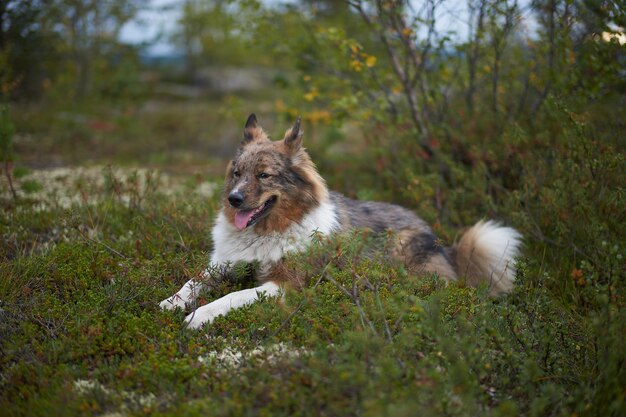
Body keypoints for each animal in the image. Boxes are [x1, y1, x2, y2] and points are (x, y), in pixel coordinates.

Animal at [158, 114, 520, 328]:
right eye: (237, 173)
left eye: (264, 175)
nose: (234, 199)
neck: (268, 230)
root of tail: (445, 246)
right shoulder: (223, 263)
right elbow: (192, 281)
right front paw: (171, 303)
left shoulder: (286, 283)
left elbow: (232, 296)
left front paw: (198, 315)